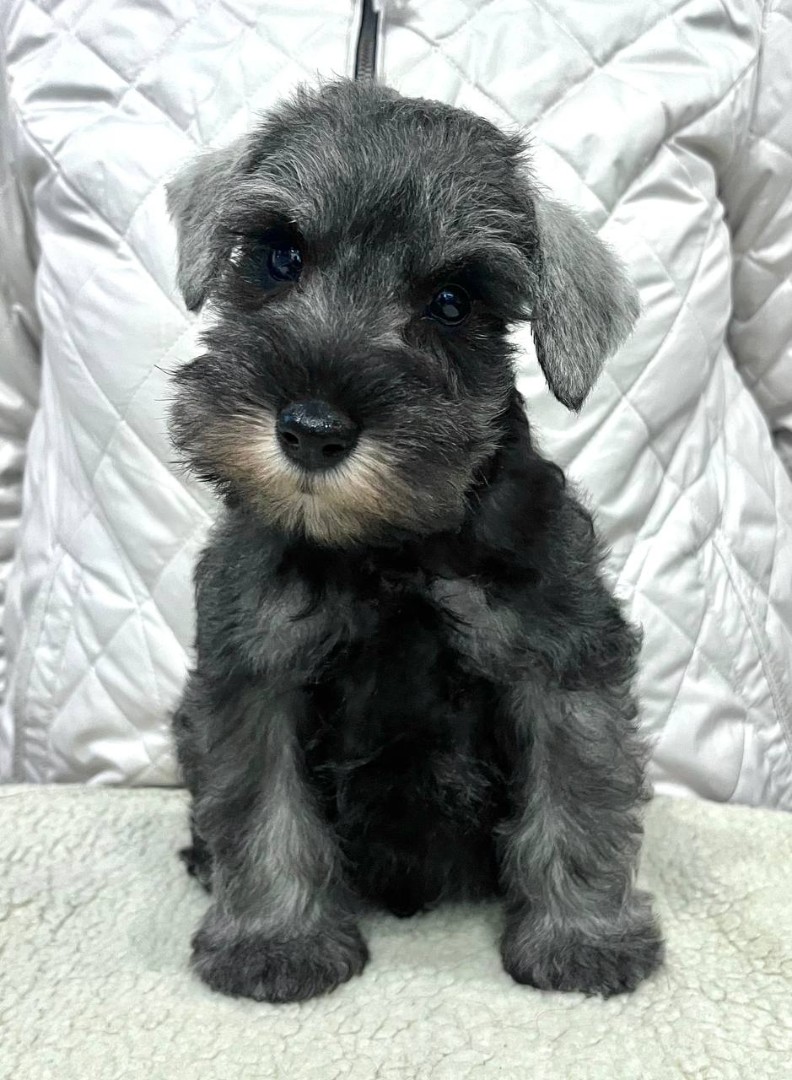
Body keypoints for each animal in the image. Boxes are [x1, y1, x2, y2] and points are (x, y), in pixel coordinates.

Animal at [167, 79, 663, 1004]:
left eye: (452, 303)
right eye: (279, 257)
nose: (313, 429)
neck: (389, 546)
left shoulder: (560, 660)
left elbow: (578, 799)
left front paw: (584, 940)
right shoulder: (256, 666)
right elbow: (262, 810)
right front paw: (275, 942)